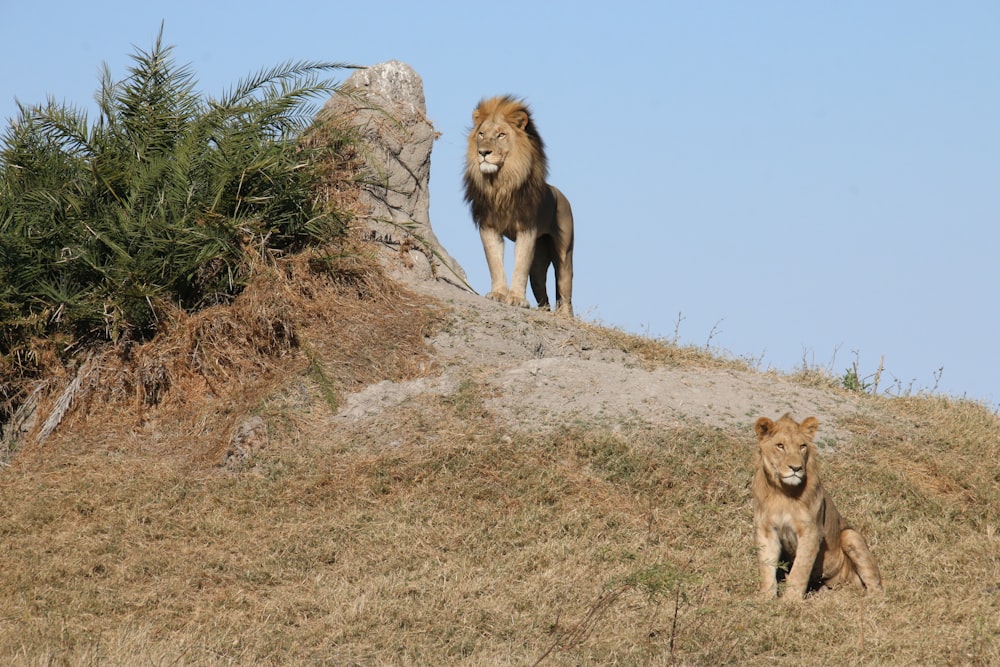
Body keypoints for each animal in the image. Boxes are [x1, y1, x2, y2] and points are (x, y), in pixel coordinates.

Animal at [462, 95, 576, 318]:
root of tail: (561, 195)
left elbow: (520, 265)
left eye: (501, 135)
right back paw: (544, 310)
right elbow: (494, 262)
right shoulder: (488, 227)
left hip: (564, 254)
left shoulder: (527, 229)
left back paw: (565, 316)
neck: (501, 183)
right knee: (543, 295)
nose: (483, 152)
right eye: (481, 134)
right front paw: (499, 294)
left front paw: (515, 298)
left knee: (565, 289)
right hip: (538, 264)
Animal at [752, 414, 884, 604]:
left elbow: (800, 569)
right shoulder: (766, 530)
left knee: (875, 586)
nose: (796, 468)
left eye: (802, 446)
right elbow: (766, 566)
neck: (783, 492)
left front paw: (790, 601)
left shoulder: (811, 532)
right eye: (780, 446)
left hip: (850, 536)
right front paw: (765, 598)